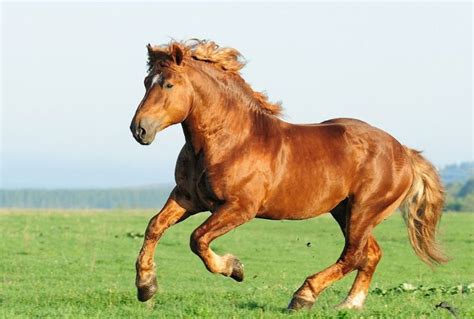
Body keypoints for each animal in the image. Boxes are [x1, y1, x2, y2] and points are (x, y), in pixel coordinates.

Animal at [128, 40, 446, 312]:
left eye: (169, 84)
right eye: (146, 82)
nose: (139, 129)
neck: (229, 141)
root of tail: (405, 152)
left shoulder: (239, 208)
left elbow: (198, 239)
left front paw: (235, 268)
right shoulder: (187, 198)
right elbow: (155, 226)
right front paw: (146, 287)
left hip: (364, 210)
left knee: (354, 255)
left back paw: (303, 296)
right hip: (345, 211)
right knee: (370, 254)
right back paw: (349, 304)